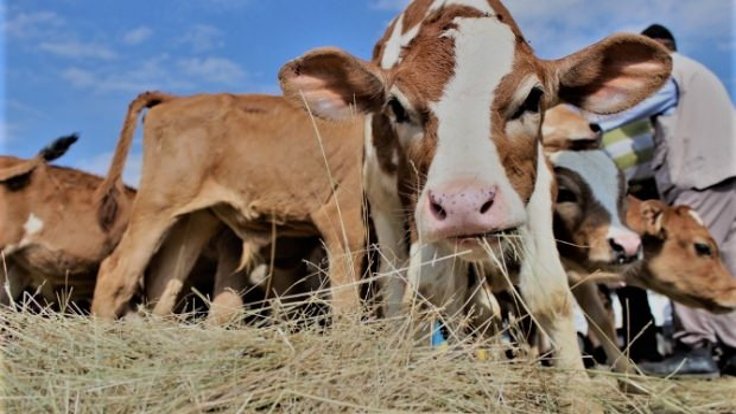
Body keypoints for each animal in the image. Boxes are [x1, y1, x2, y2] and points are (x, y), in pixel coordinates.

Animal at [280, 0, 672, 382]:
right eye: (397, 107)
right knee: (407, 292)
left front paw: (580, 392)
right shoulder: (417, 211)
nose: (463, 204)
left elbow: (549, 295)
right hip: (388, 208)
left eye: (533, 99)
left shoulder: (536, 191)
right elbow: (426, 293)